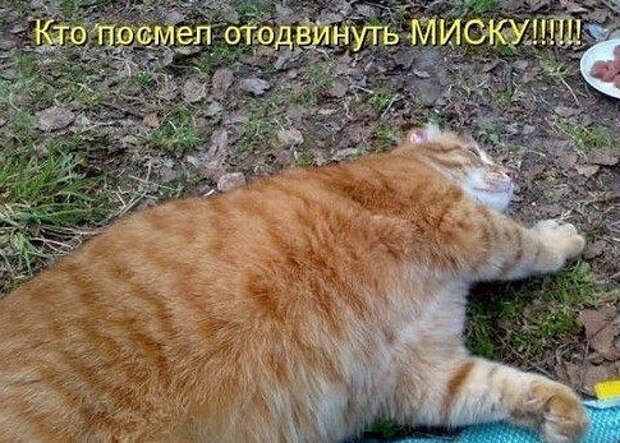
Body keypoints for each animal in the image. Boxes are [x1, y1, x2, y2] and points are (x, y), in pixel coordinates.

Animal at [0, 124, 588, 443]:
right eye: (476, 153)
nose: (510, 173)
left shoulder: (426, 375)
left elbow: (499, 388)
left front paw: (562, 414)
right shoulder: (461, 222)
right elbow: (525, 246)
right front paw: (562, 239)